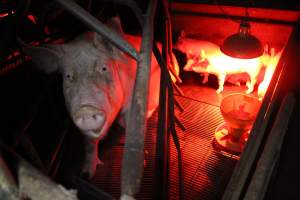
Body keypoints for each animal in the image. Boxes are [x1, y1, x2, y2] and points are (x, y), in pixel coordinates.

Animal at [22, 17, 166, 178]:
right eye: (68, 76)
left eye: (104, 68)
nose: (86, 109)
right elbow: (89, 143)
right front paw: (87, 174)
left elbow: (132, 128)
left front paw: (142, 163)